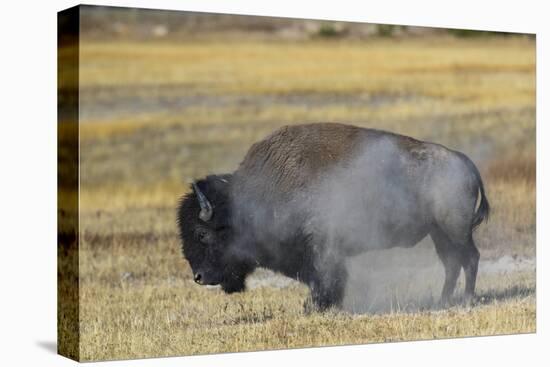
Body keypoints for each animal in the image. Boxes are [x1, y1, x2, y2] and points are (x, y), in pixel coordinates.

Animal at [178, 123, 492, 310]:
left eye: (202, 233)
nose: (199, 277)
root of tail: (463, 161)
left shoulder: (323, 249)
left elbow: (327, 278)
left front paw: (316, 307)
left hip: (455, 231)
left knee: (469, 259)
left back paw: (465, 300)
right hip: (438, 233)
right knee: (452, 263)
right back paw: (443, 301)